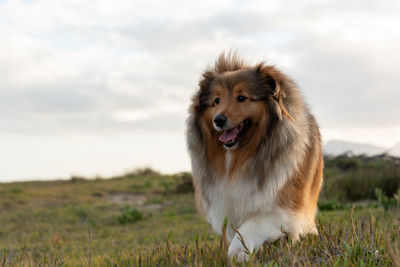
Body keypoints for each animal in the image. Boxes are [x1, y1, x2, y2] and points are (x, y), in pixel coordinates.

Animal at [186, 52, 324, 262]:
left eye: (242, 97)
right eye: (217, 100)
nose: (218, 120)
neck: (239, 158)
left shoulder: (283, 206)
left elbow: (251, 226)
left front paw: (239, 251)